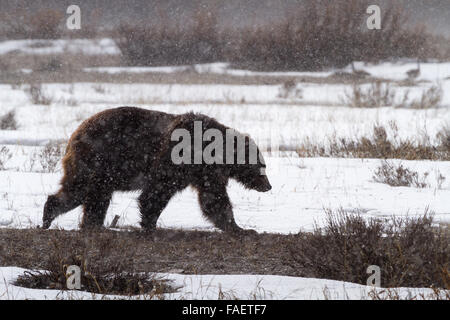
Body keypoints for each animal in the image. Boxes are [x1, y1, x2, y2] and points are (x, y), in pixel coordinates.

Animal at [43, 106, 270, 234]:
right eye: (262, 165)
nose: (268, 186)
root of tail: (75, 134)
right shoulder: (174, 160)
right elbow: (157, 192)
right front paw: (151, 224)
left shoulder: (205, 173)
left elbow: (214, 199)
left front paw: (242, 228)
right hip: (98, 159)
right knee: (87, 192)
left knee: (82, 193)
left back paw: (59, 217)